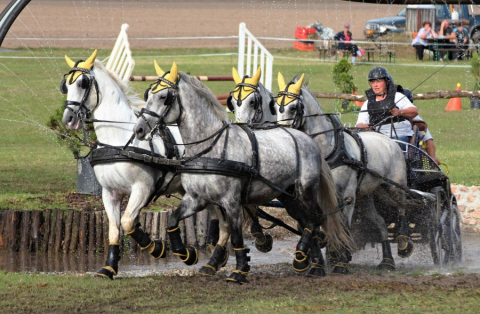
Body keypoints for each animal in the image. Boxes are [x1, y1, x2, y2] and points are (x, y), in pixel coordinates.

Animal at [60, 50, 232, 278]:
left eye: (82, 83)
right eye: (66, 85)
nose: (68, 119)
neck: (120, 142)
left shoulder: (142, 188)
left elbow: (127, 222)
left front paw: (157, 248)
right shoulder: (109, 192)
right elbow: (114, 228)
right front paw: (109, 267)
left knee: (224, 221)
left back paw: (213, 258)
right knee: (215, 217)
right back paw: (216, 254)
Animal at [135, 62, 352, 284]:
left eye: (164, 97)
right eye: (148, 94)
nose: (139, 129)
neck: (210, 148)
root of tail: (307, 139)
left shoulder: (231, 201)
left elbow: (237, 236)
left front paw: (239, 271)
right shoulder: (196, 198)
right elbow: (172, 220)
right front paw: (185, 254)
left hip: (306, 190)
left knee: (315, 219)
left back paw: (308, 258)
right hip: (288, 196)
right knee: (307, 220)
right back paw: (311, 263)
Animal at [276, 72, 414, 272]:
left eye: (293, 108)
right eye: (276, 106)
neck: (328, 147)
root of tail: (389, 140)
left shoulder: (347, 194)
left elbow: (344, 225)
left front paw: (340, 261)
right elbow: (314, 222)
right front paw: (320, 256)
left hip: (394, 186)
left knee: (402, 207)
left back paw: (403, 242)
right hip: (366, 196)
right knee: (381, 222)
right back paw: (387, 261)